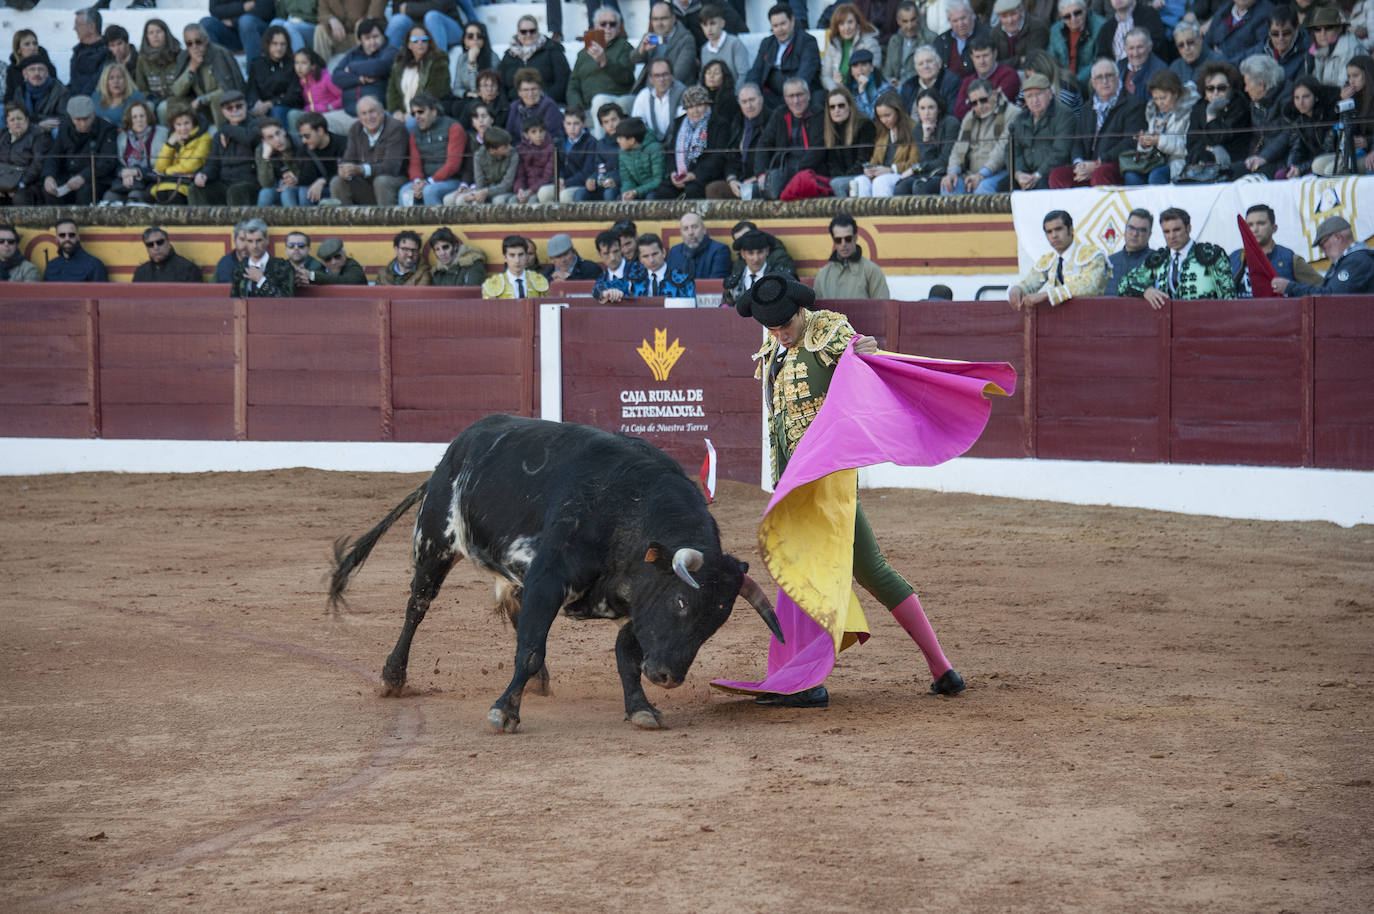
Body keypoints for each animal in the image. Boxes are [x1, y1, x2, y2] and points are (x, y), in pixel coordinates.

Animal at [324, 417, 785, 731]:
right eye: (682, 601)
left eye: (716, 623)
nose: (667, 677)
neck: (629, 510)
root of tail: (457, 447)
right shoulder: (549, 577)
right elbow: (530, 648)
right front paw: (504, 712)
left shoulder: (631, 601)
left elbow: (625, 650)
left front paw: (640, 708)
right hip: (435, 541)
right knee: (417, 606)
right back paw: (393, 676)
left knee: (511, 606)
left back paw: (539, 683)